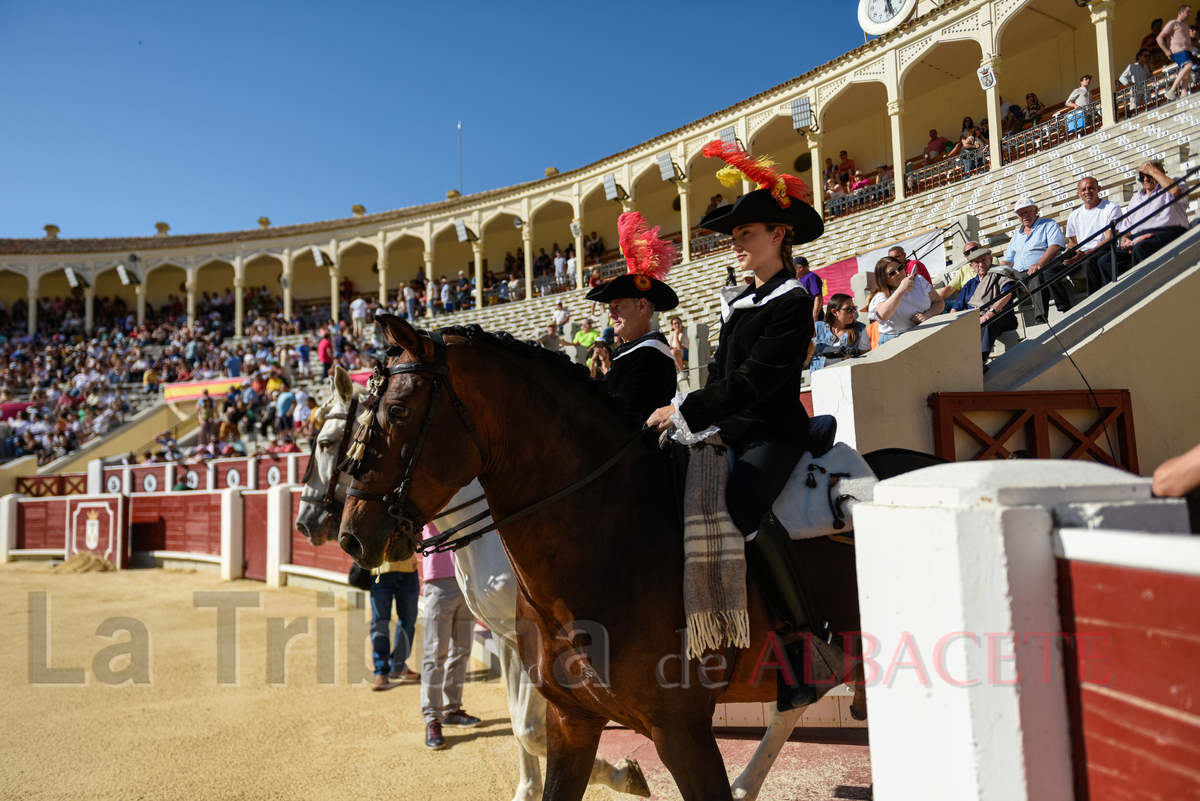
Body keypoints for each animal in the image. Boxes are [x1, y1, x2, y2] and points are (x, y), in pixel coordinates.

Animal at [338, 316, 926, 796]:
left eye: (396, 409)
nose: (349, 537)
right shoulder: (570, 717)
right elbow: (535, 740)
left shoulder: (683, 731)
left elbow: (530, 730)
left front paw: (624, 775)